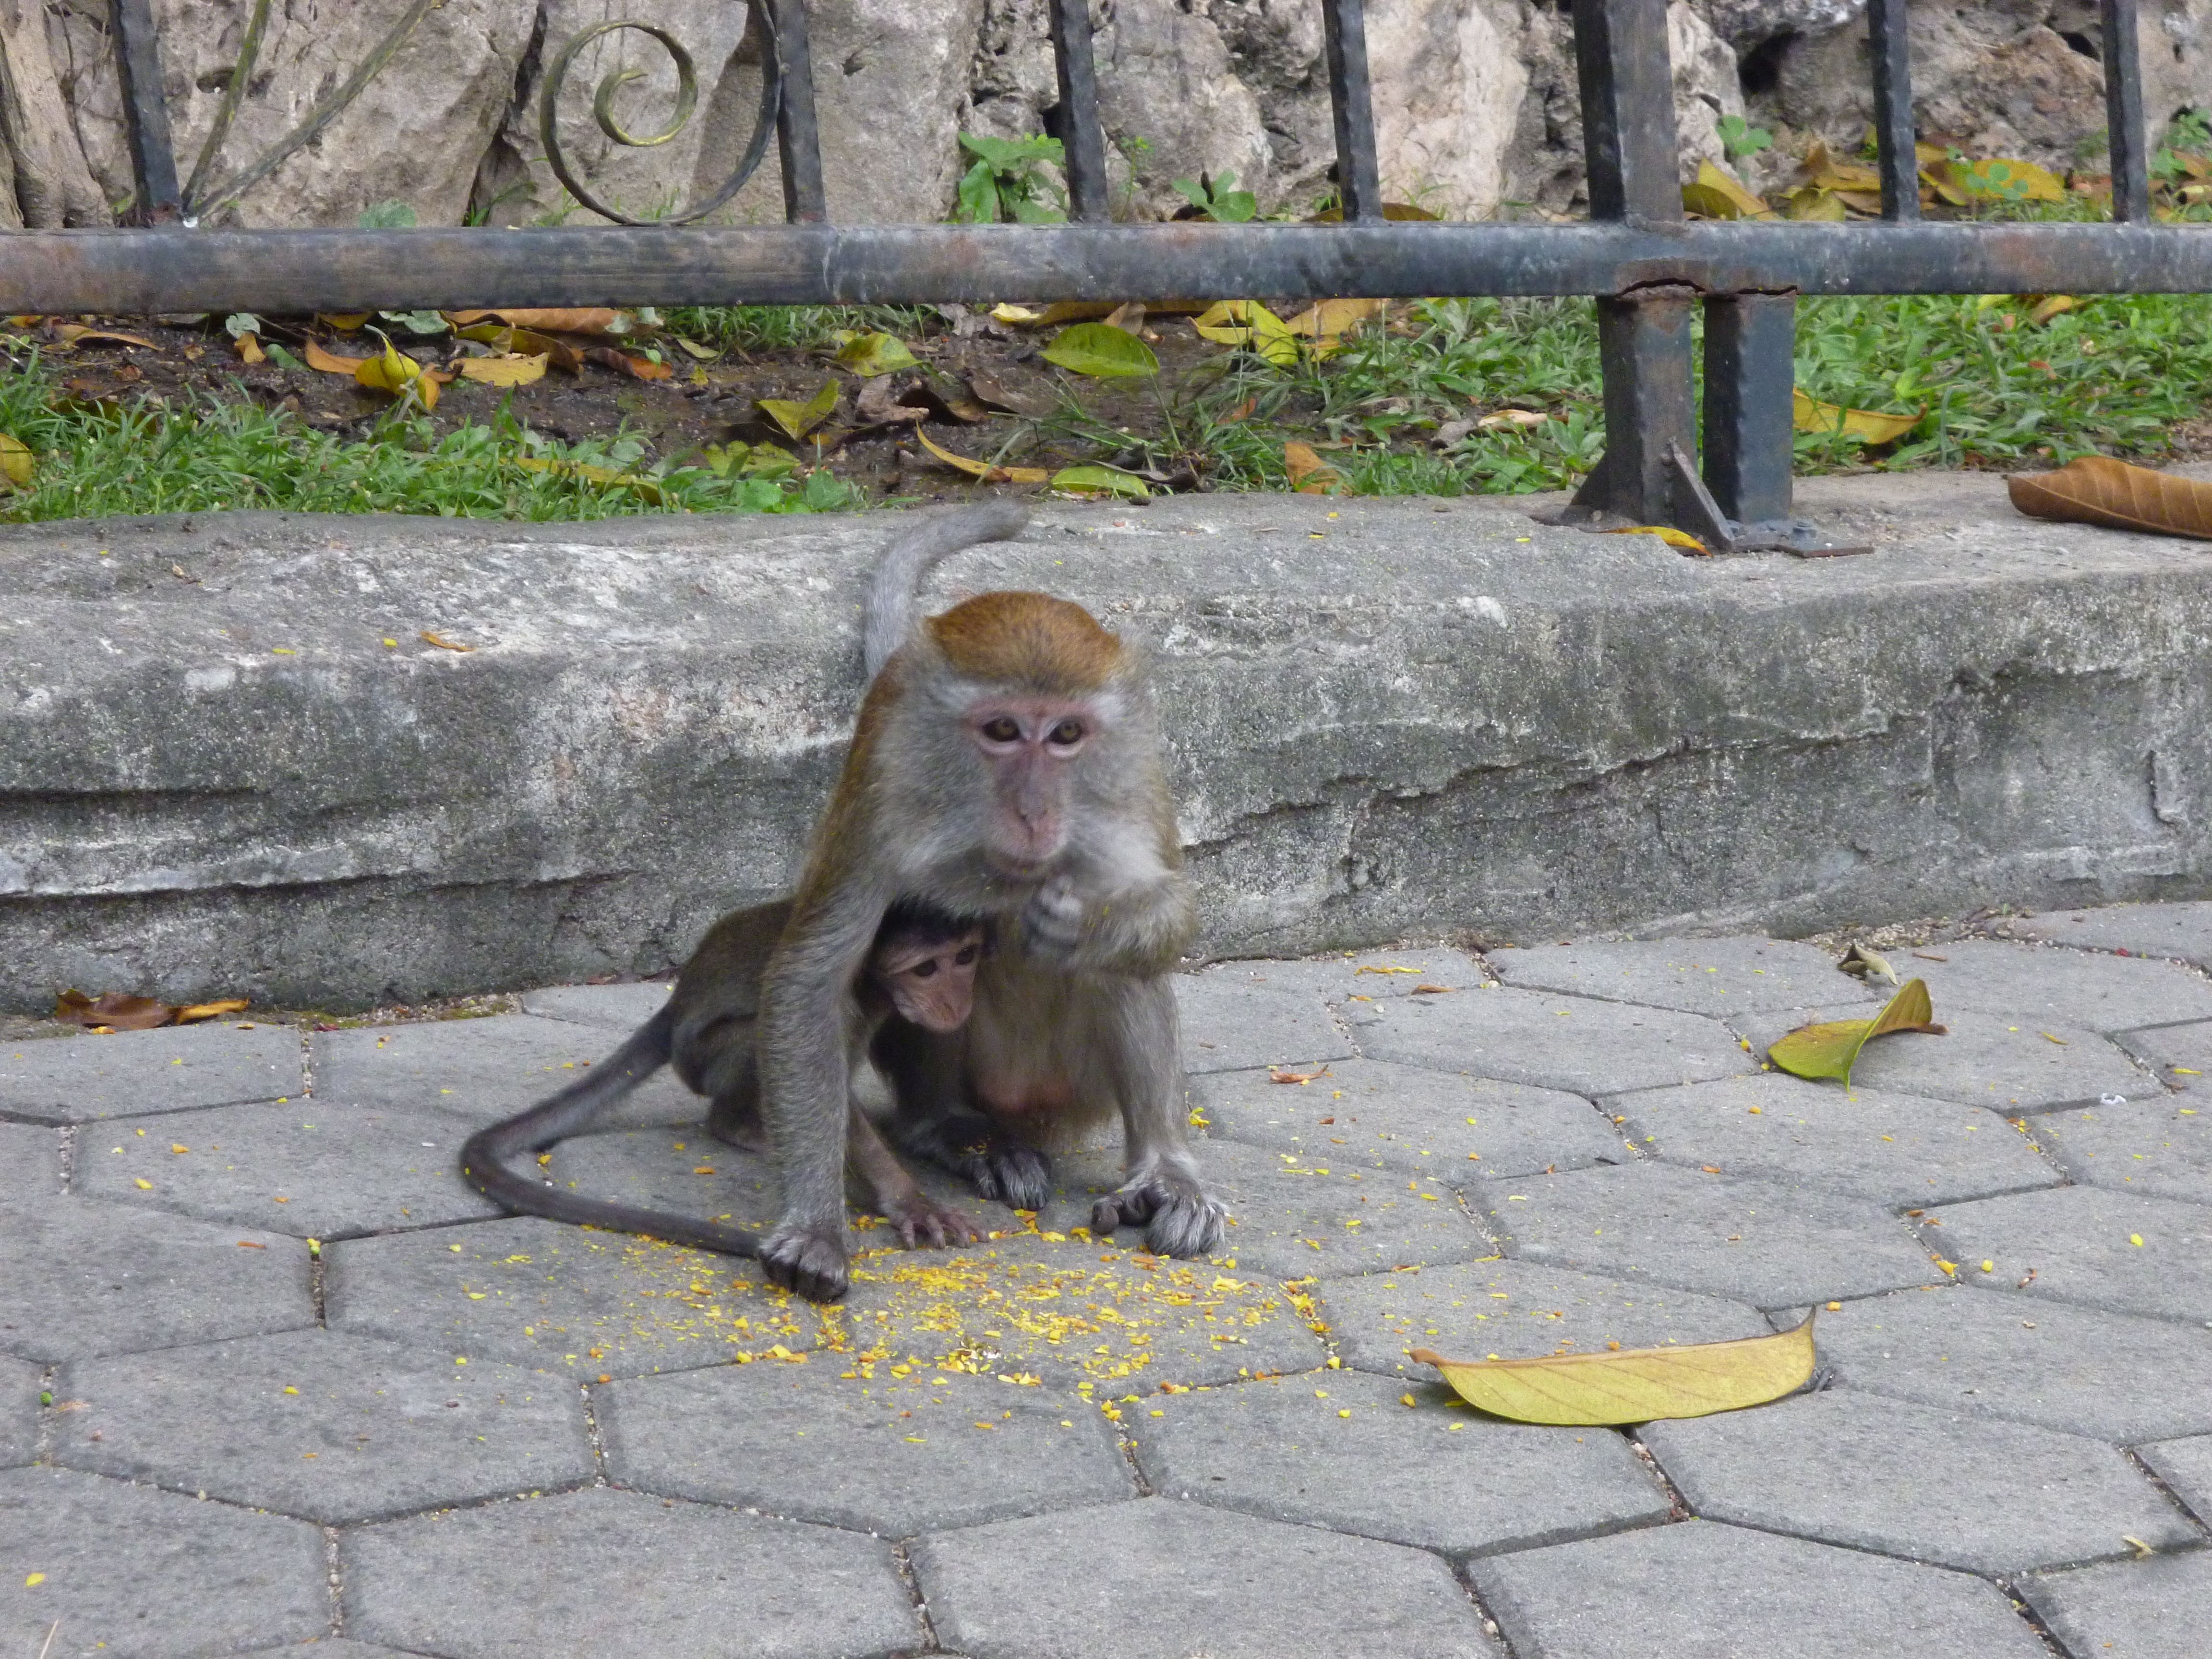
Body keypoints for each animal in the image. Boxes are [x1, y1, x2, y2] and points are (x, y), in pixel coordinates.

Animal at [459, 896, 989, 1257]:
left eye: (965, 957)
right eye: (926, 969)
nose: (956, 1001)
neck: (872, 979)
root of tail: (675, 1007)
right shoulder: (839, 996)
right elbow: (813, 1062)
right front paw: (910, 1201)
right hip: (703, 1060)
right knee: (761, 1037)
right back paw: (738, 1127)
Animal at [754, 500, 1224, 1301]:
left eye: (1066, 734)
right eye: (1003, 730)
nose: (1035, 813)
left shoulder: (1133, 772)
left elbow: (1171, 910)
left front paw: (1088, 926)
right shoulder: (884, 791)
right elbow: (813, 980)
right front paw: (818, 1228)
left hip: (1078, 1088)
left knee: (1126, 975)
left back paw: (1164, 1175)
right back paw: (957, 1131)